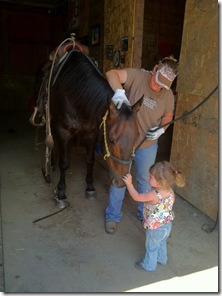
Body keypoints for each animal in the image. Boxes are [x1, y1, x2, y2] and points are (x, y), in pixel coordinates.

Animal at [30, 47, 142, 207]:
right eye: (111, 140)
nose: (121, 183)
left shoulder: (92, 133)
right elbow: (64, 163)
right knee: (49, 141)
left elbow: (90, 159)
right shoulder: (63, 132)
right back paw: (50, 163)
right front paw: (61, 193)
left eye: (136, 139)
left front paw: (90, 187)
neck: (76, 92)